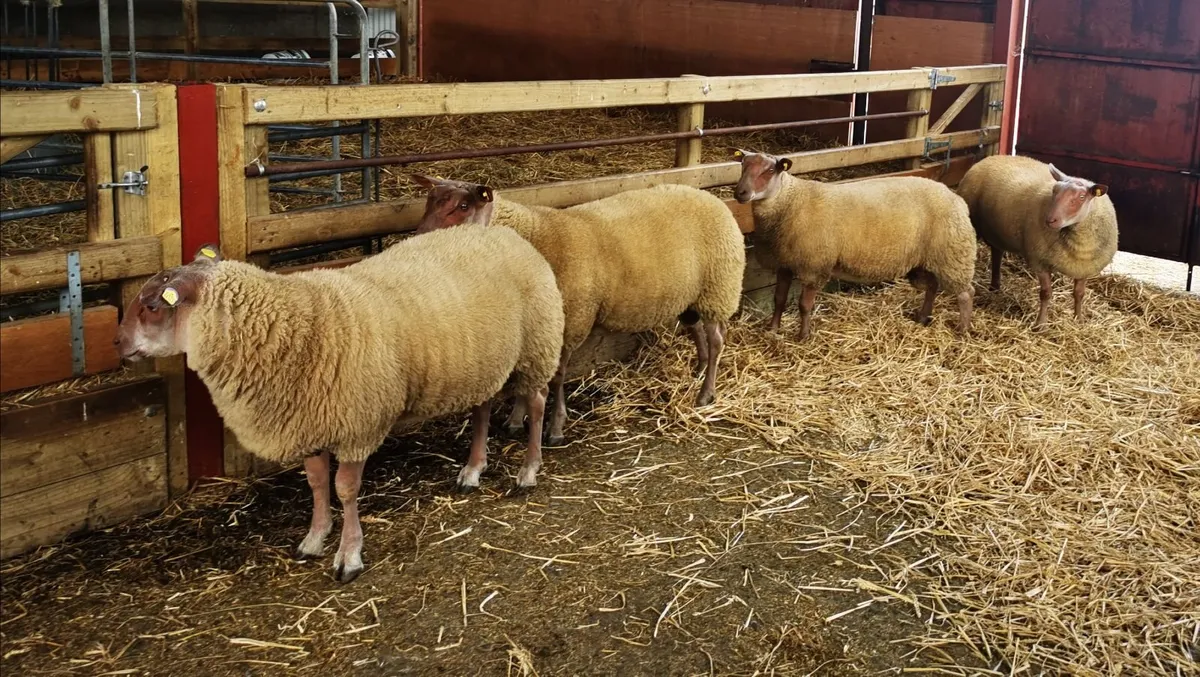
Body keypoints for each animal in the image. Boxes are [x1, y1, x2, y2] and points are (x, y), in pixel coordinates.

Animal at [113, 227, 565, 583]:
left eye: (152, 306)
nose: (117, 344)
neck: (293, 329)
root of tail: (506, 233)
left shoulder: (357, 426)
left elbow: (345, 490)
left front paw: (349, 555)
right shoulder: (310, 423)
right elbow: (316, 483)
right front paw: (314, 538)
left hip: (536, 345)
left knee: (537, 402)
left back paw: (529, 470)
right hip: (486, 361)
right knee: (483, 408)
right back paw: (472, 469)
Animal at [409, 175, 747, 445]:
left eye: (463, 206)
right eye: (429, 202)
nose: (418, 238)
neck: (535, 234)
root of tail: (710, 197)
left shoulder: (570, 319)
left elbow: (556, 377)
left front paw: (555, 427)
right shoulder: (538, 326)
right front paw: (516, 420)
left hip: (720, 283)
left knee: (717, 338)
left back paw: (705, 393)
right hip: (692, 294)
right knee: (697, 327)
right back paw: (700, 369)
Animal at [732, 149, 977, 338]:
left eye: (769, 170)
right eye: (743, 165)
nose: (740, 193)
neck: (790, 201)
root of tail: (956, 198)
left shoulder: (815, 266)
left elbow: (804, 306)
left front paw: (803, 336)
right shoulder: (784, 263)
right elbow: (779, 299)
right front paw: (772, 330)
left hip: (954, 255)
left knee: (966, 294)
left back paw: (962, 331)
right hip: (924, 260)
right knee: (933, 286)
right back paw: (923, 317)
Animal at [956, 154, 1118, 328]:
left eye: (1081, 197)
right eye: (1054, 191)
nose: (1050, 220)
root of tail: (992, 157)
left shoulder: (1083, 268)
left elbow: (1079, 294)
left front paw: (1078, 319)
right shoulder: (1039, 261)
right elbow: (1046, 294)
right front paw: (1041, 324)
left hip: (997, 232)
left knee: (997, 254)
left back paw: (995, 286)